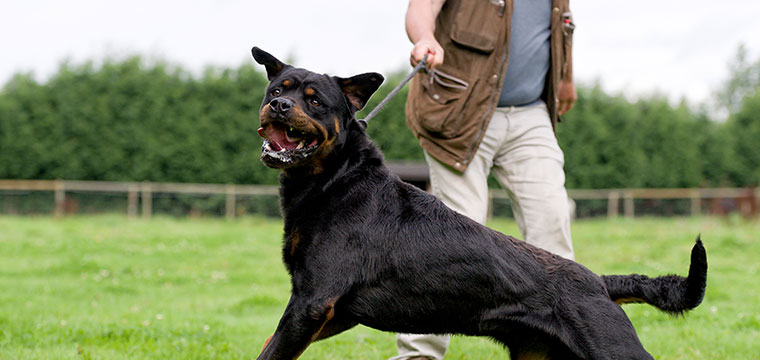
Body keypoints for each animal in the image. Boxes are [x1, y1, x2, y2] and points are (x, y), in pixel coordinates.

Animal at [254, 47, 708, 360]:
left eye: (315, 101)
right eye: (276, 90)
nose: (279, 104)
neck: (335, 178)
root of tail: (599, 282)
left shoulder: (313, 302)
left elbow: (271, 351)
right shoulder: (334, 312)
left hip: (612, 348)